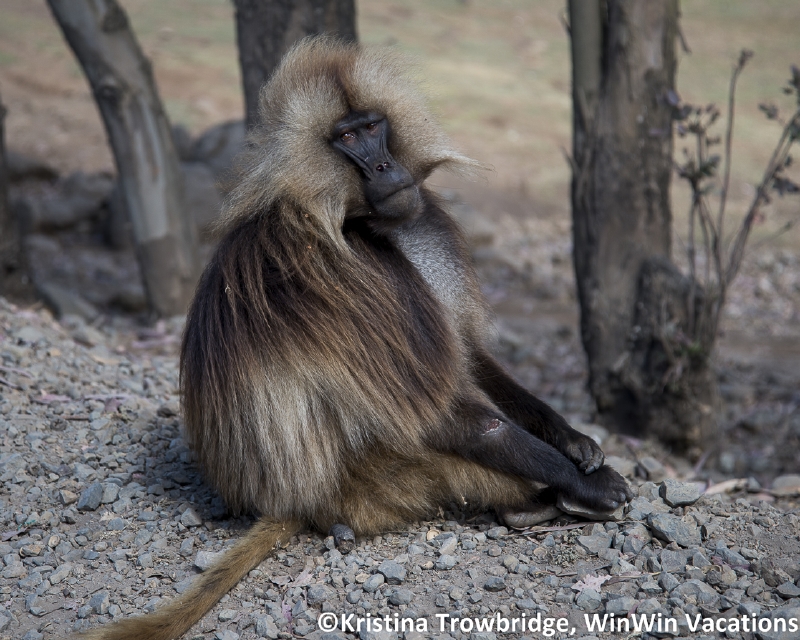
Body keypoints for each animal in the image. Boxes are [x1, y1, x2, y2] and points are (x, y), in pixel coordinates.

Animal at [81, 36, 632, 640]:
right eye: (346, 140)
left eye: (372, 127)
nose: (385, 165)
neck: (358, 218)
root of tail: (291, 500)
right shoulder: (352, 275)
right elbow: (439, 411)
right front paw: (591, 485)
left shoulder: (424, 223)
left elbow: (467, 355)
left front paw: (575, 441)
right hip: (378, 480)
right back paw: (538, 505)